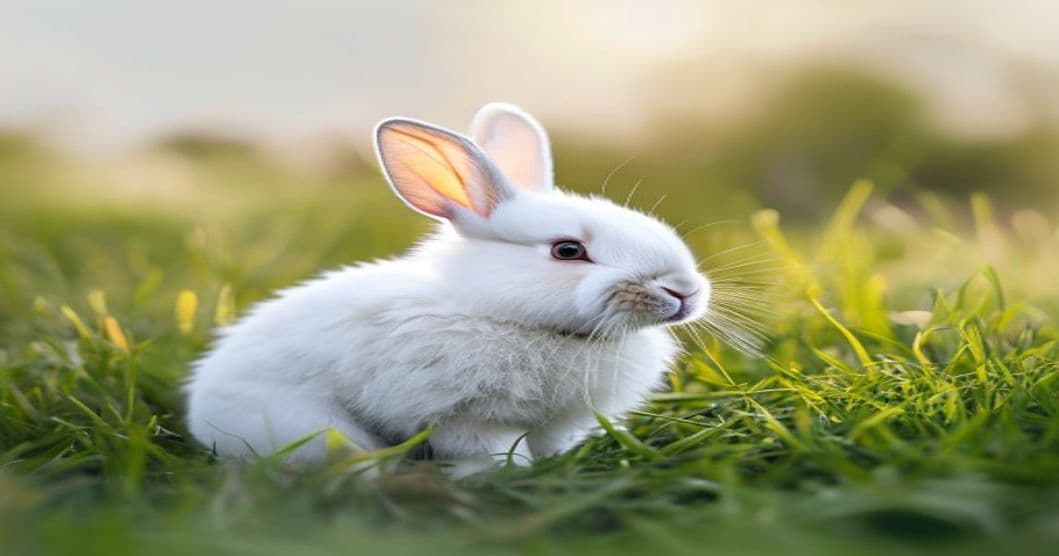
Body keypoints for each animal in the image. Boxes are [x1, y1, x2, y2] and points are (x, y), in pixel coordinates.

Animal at [184, 102, 710, 466]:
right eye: (567, 251)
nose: (683, 291)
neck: (497, 313)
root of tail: (202, 409)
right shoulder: (467, 417)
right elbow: (494, 450)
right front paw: (506, 475)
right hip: (312, 426)